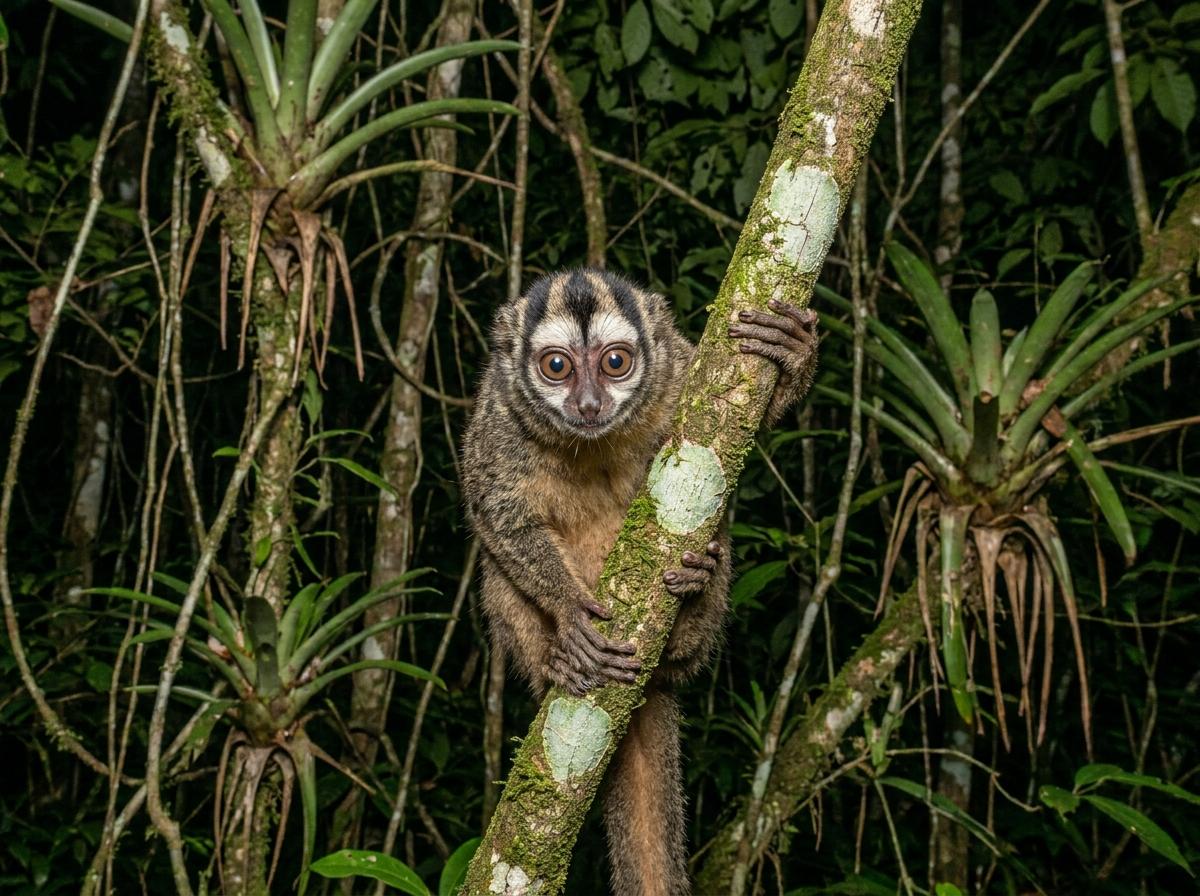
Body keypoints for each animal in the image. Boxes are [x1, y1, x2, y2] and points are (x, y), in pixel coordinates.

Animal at [462, 268, 818, 896]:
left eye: (615, 362)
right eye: (557, 366)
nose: (588, 403)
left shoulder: (677, 371)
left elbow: (749, 416)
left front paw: (793, 351)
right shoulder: (498, 417)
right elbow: (494, 510)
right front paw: (570, 612)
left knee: (715, 544)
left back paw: (692, 604)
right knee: (496, 571)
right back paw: (559, 661)